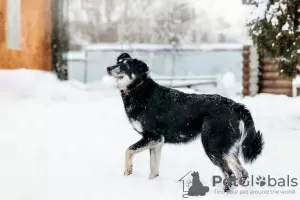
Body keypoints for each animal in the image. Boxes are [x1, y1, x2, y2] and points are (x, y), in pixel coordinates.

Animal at [106, 53, 264, 192]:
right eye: (118, 62)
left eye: (125, 66)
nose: (108, 68)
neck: (138, 88)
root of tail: (236, 105)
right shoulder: (158, 142)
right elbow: (153, 167)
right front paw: (152, 184)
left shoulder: (152, 137)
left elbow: (128, 150)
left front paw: (128, 172)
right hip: (226, 148)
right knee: (242, 172)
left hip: (212, 146)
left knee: (229, 173)